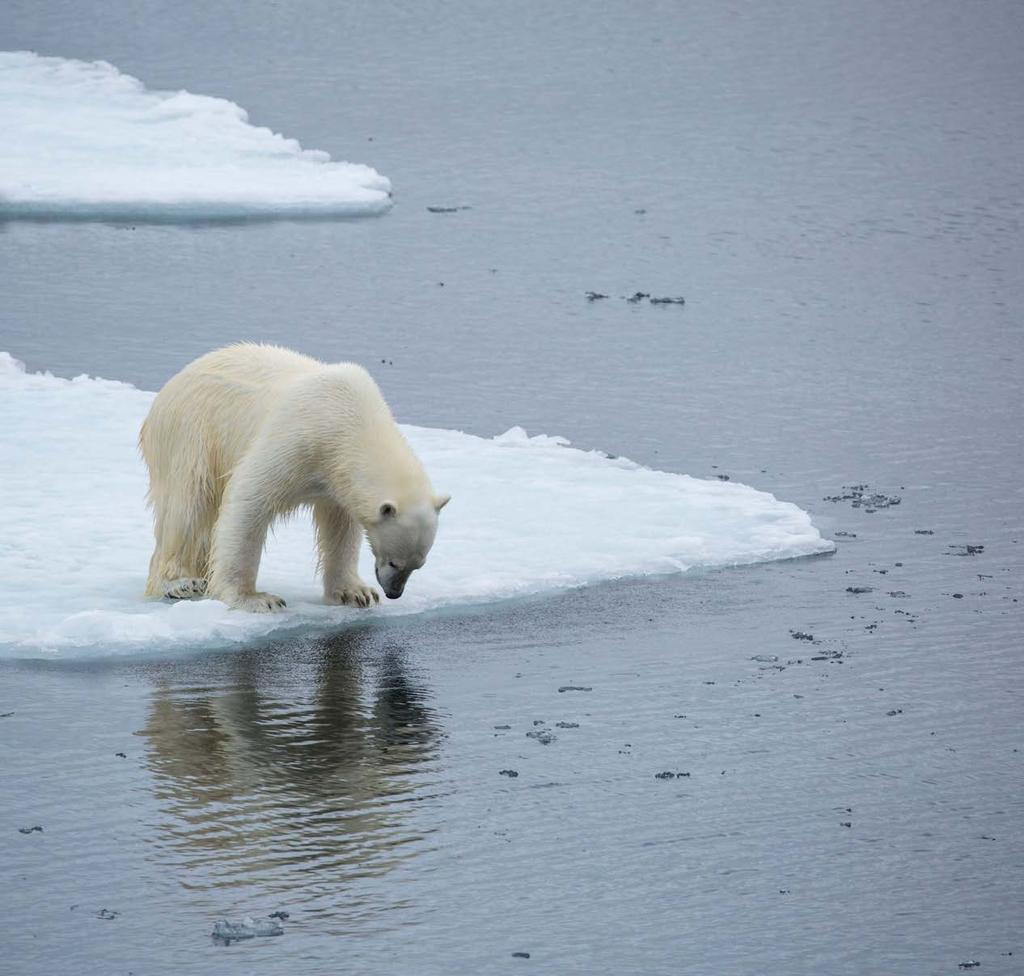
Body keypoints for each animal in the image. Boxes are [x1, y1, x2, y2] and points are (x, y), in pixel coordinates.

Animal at [139, 346, 448, 614]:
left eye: (418, 564)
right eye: (395, 562)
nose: (394, 592)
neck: (353, 421)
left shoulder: (336, 478)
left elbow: (341, 528)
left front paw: (356, 593)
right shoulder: (300, 438)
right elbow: (249, 500)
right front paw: (256, 599)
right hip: (191, 432)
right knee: (188, 507)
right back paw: (180, 582)